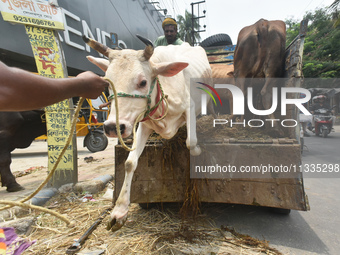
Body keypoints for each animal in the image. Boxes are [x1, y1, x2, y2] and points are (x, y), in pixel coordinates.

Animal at [83, 34, 211, 232]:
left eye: (143, 82)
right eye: (107, 83)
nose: (112, 127)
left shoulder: (188, 108)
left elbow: (190, 142)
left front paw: (197, 150)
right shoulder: (143, 124)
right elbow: (129, 163)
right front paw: (119, 211)